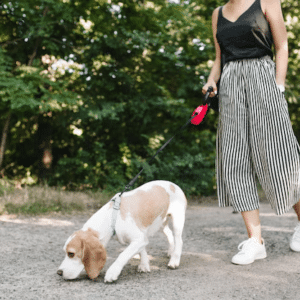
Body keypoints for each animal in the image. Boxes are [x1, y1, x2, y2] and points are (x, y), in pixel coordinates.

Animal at [57, 180, 186, 284]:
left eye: (71, 254)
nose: (59, 272)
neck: (113, 217)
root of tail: (173, 184)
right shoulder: (141, 238)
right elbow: (142, 251)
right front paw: (144, 265)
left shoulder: (139, 239)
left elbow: (122, 255)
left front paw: (112, 272)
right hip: (160, 223)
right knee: (169, 234)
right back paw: (170, 251)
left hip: (177, 221)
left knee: (179, 239)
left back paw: (174, 260)